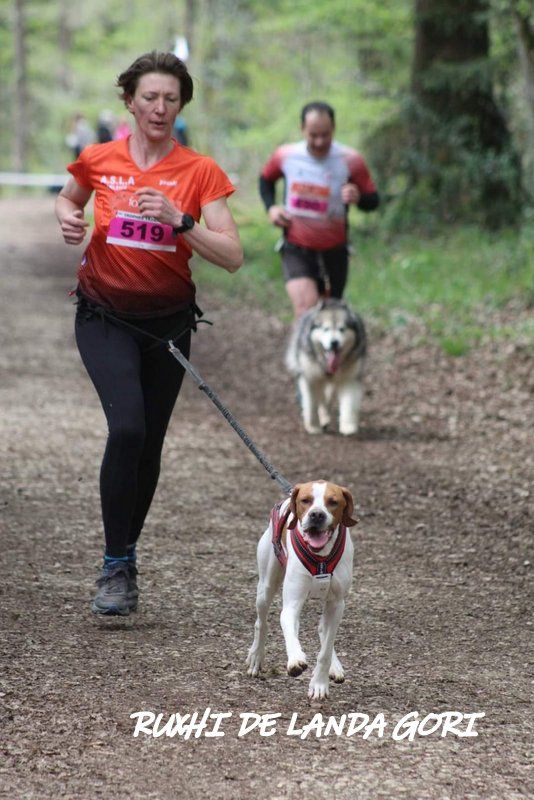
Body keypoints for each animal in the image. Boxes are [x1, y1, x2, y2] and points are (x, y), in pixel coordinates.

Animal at [248, 482, 358, 700]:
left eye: (333, 502)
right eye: (305, 500)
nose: (317, 515)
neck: (321, 556)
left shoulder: (337, 604)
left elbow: (325, 650)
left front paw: (319, 683)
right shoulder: (292, 604)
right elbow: (289, 628)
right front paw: (295, 660)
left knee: (324, 630)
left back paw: (335, 666)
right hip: (266, 587)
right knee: (261, 622)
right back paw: (256, 656)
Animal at [284, 298, 368, 434]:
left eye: (342, 329)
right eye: (326, 329)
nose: (334, 343)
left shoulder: (350, 378)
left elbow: (349, 403)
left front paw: (348, 426)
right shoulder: (310, 378)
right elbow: (312, 403)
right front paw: (313, 426)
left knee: (326, 397)